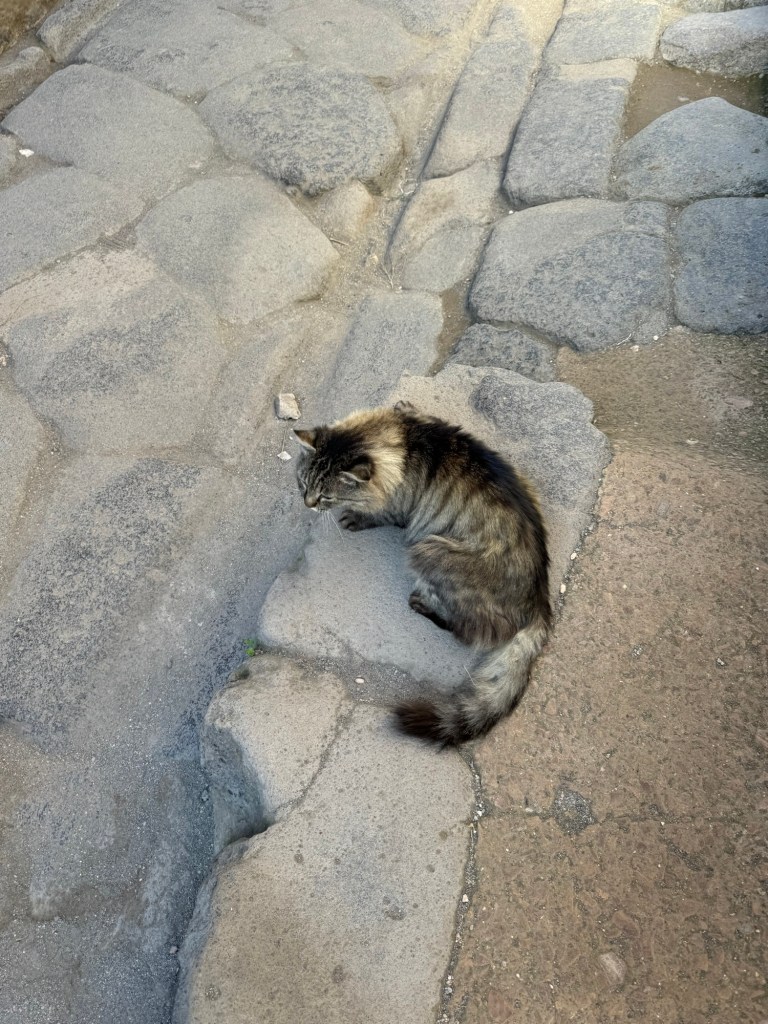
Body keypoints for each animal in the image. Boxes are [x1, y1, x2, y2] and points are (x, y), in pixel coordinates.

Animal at [294, 400, 552, 744]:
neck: (405, 439)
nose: (307, 503)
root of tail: (539, 600)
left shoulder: (401, 510)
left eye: (326, 496)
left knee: (467, 632)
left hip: (429, 548)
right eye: (303, 483)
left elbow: (380, 515)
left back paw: (422, 605)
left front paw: (357, 518)